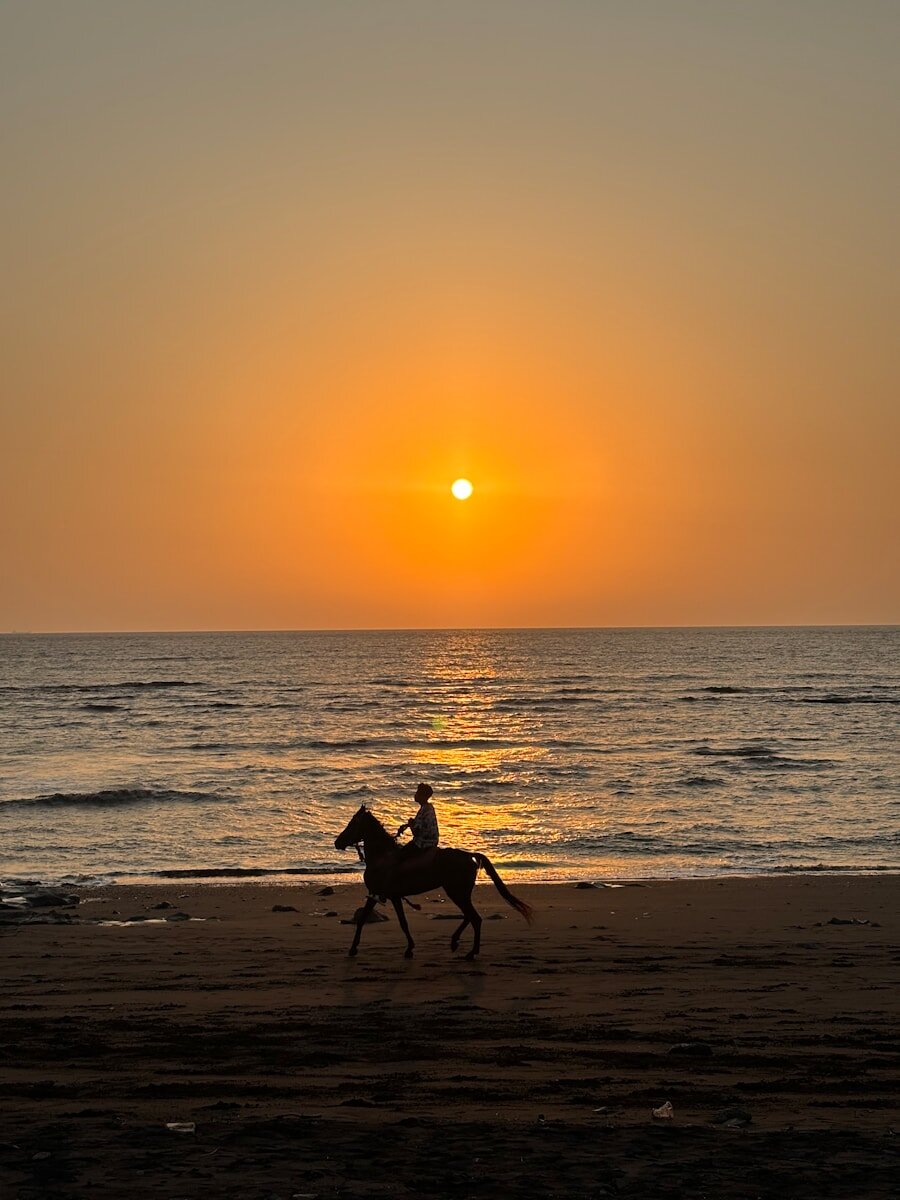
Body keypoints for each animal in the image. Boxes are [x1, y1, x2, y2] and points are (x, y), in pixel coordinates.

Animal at [334, 804, 533, 960]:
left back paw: (471, 952)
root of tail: (470, 856)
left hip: (456, 892)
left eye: (352, 824)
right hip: (459, 893)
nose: (337, 842)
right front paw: (409, 948)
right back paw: (455, 942)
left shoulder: (380, 894)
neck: (382, 858)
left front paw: (353, 949)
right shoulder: (388, 896)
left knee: (474, 918)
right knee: (469, 916)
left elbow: (370, 921)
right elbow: (397, 922)